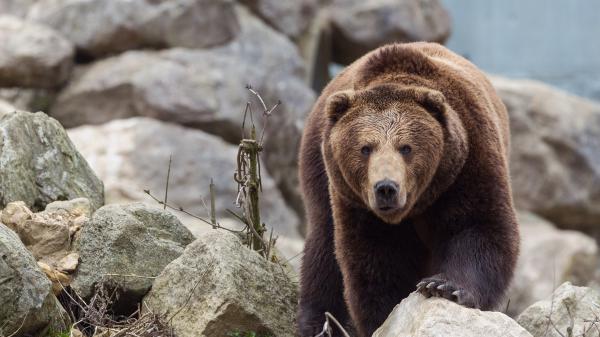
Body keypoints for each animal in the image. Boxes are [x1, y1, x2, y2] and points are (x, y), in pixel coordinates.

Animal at [296, 42, 520, 336]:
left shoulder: (468, 163)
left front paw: (443, 286)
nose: (386, 188)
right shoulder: (356, 203)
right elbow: (375, 258)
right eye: (365, 148)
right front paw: (386, 312)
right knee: (323, 244)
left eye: (406, 147)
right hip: (318, 170)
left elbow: (478, 226)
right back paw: (317, 323)